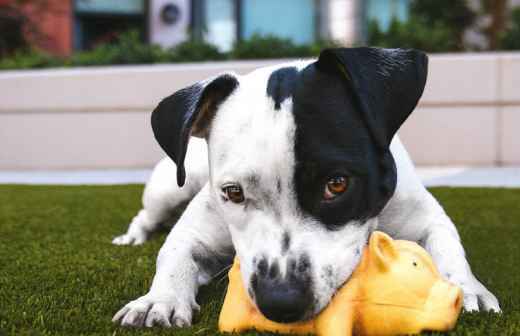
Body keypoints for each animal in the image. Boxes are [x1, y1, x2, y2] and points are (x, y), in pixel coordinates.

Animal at [110, 48, 500, 328]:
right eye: (234, 192)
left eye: (337, 184)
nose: (280, 301)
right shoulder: (197, 230)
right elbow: (174, 255)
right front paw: (158, 300)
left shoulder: (425, 217)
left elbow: (449, 247)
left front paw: (468, 288)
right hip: (169, 188)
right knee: (146, 215)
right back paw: (132, 238)